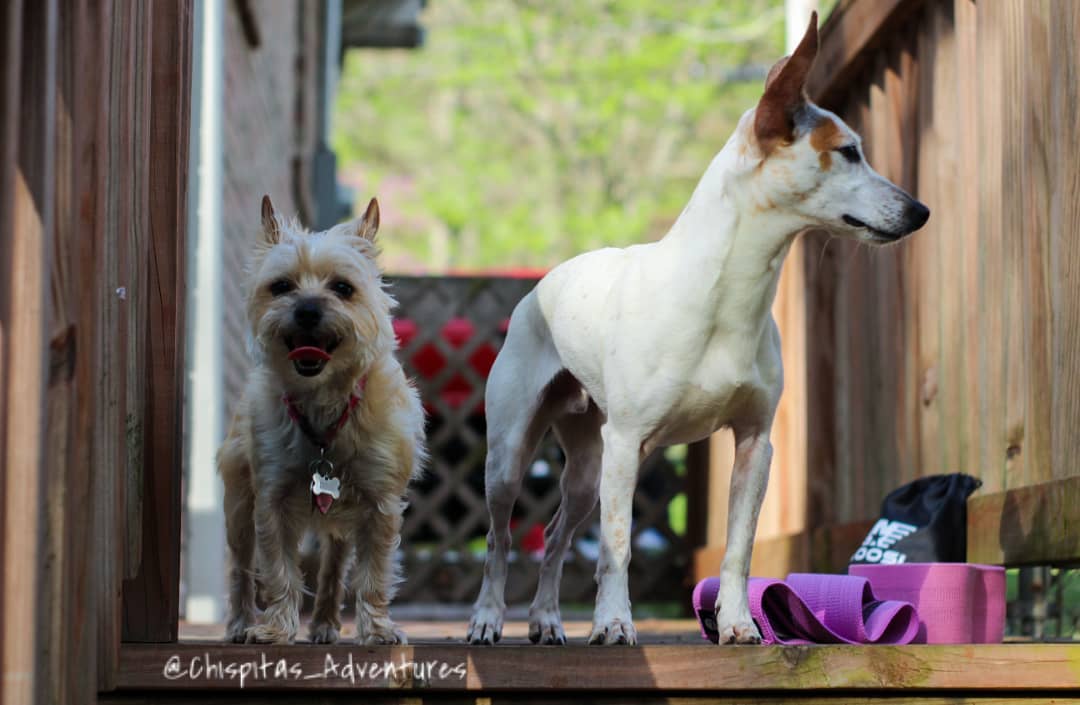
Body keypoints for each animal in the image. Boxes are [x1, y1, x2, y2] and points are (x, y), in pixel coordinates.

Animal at [219, 192, 425, 643]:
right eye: (281, 286)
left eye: (343, 289)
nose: (308, 309)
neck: (324, 402)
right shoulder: (271, 501)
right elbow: (278, 571)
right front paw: (275, 627)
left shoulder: (380, 504)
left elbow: (374, 574)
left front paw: (377, 629)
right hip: (238, 503)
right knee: (240, 566)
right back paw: (240, 622)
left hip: (340, 517)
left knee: (334, 566)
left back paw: (327, 624)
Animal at [464, 13, 928, 647]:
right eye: (849, 151)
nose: (920, 211)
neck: (724, 299)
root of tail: (541, 286)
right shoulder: (627, 444)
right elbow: (616, 549)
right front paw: (614, 623)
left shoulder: (755, 444)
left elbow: (737, 550)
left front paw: (738, 625)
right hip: (513, 455)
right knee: (501, 535)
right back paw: (489, 619)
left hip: (586, 468)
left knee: (557, 535)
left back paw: (547, 620)